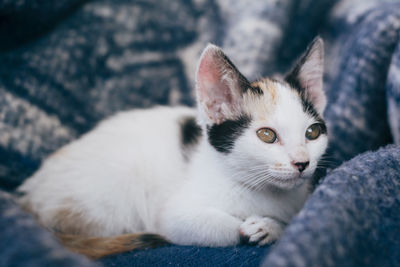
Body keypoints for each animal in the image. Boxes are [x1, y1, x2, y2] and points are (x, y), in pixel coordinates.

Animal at [16, 37, 328, 260]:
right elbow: (222, 229)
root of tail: (29, 199)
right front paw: (251, 227)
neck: (262, 191)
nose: (302, 163)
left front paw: (271, 227)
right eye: (266, 135)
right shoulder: (173, 217)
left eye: (312, 133)